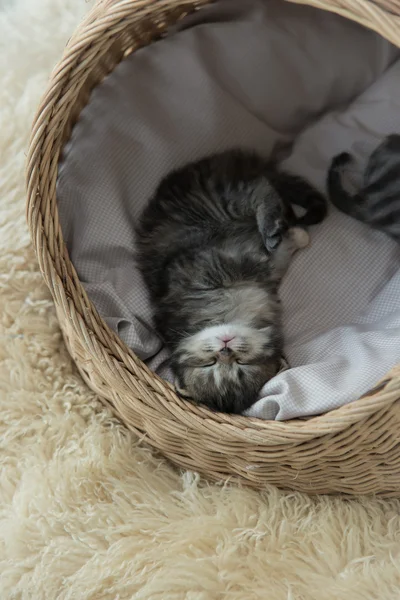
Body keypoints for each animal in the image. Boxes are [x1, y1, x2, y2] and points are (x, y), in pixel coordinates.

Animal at [136, 149, 326, 412]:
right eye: (210, 364)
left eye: (242, 364)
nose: (225, 347)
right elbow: (269, 261)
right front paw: (293, 238)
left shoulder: (207, 265)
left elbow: (261, 260)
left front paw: (294, 237)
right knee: (259, 186)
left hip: (219, 200)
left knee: (260, 189)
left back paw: (272, 225)